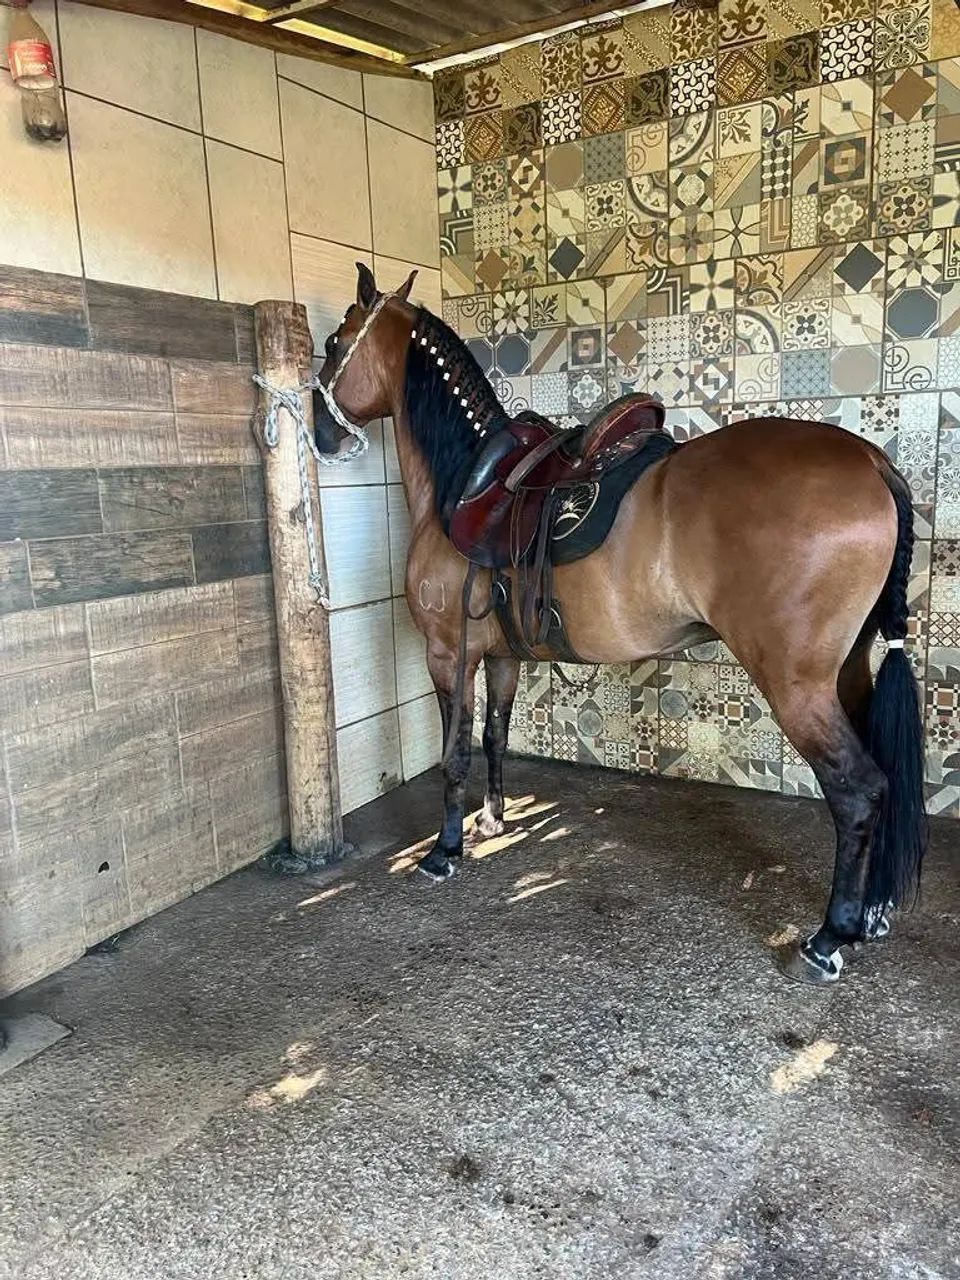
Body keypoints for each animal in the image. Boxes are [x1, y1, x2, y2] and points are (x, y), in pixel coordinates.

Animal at [312, 262, 927, 987]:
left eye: (334, 343)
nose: (321, 435)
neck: (465, 485)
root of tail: (872, 463)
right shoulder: (502, 655)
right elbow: (494, 737)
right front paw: (494, 820)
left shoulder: (447, 652)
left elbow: (454, 751)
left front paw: (444, 850)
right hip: (848, 673)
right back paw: (873, 911)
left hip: (797, 687)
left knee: (858, 790)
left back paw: (832, 935)